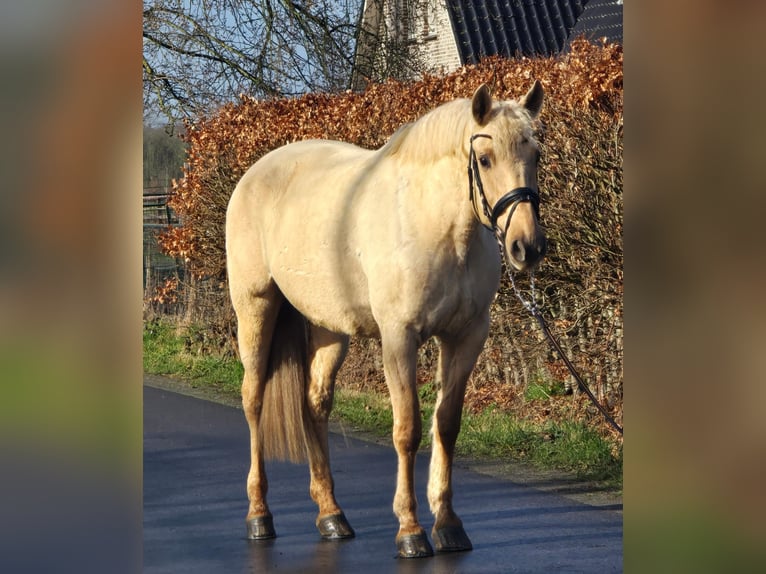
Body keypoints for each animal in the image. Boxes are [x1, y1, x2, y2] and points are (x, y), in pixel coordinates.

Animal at [225, 82, 547, 558]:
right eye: (486, 159)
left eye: (536, 154)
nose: (527, 246)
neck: (437, 227)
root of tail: (252, 175)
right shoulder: (399, 338)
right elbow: (407, 429)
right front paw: (410, 529)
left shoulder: (466, 336)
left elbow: (446, 425)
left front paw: (448, 524)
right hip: (256, 309)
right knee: (253, 401)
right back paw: (258, 514)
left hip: (328, 329)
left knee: (314, 403)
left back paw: (331, 514)